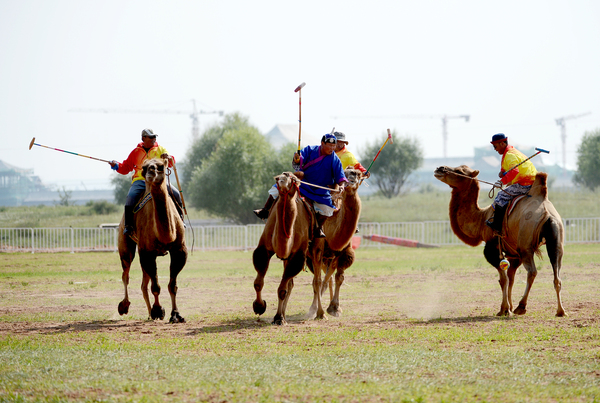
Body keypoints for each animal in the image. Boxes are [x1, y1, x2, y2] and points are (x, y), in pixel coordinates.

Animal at [117, 158, 188, 326]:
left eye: (161, 166)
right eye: (143, 167)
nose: (151, 172)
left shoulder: (179, 250)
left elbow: (172, 285)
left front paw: (175, 315)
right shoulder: (147, 252)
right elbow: (155, 286)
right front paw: (158, 310)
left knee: (144, 284)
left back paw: (149, 313)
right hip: (126, 246)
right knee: (126, 274)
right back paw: (124, 306)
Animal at [252, 172, 326, 326]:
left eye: (293, 180)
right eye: (277, 178)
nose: (282, 180)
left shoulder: (297, 255)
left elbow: (282, 289)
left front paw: (278, 318)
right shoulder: (264, 248)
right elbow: (259, 283)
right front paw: (259, 307)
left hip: (317, 248)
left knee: (317, 280)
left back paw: (320, 313)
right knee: (291, 284)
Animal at [308, 167, 364, 318]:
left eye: (359, 174)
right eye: (345, 172)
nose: (352, 176)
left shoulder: (344, 252)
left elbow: (339, 277)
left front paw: (334, 307)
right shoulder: (318, 250)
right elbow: (319, 280)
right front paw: (316, 310)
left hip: (330, 258)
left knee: (329, 278)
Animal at [434, 166, 564, 318]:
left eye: (460, 171)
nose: (440, 169)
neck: (481, 219)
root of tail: (548, 214)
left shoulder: (493, 249)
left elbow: (503, 279)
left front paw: (504, 309)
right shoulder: (514, 254)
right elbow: (511, 278)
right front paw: (508, 307)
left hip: (525, 246)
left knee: (532, 272)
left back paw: (521, 307)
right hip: (556, 242)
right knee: (557, 274)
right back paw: (560, 311)